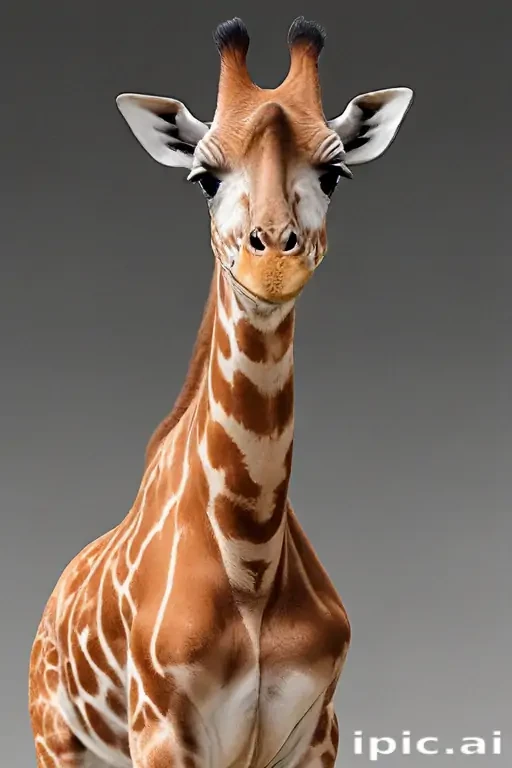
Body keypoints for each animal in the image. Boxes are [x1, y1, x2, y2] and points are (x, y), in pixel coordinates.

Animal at [28, 17, 413, 768]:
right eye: (204, 178)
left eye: (334, 173)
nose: (272, 263)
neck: (251, 559)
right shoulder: (163, 732)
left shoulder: (316, 731)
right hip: (55, 736)